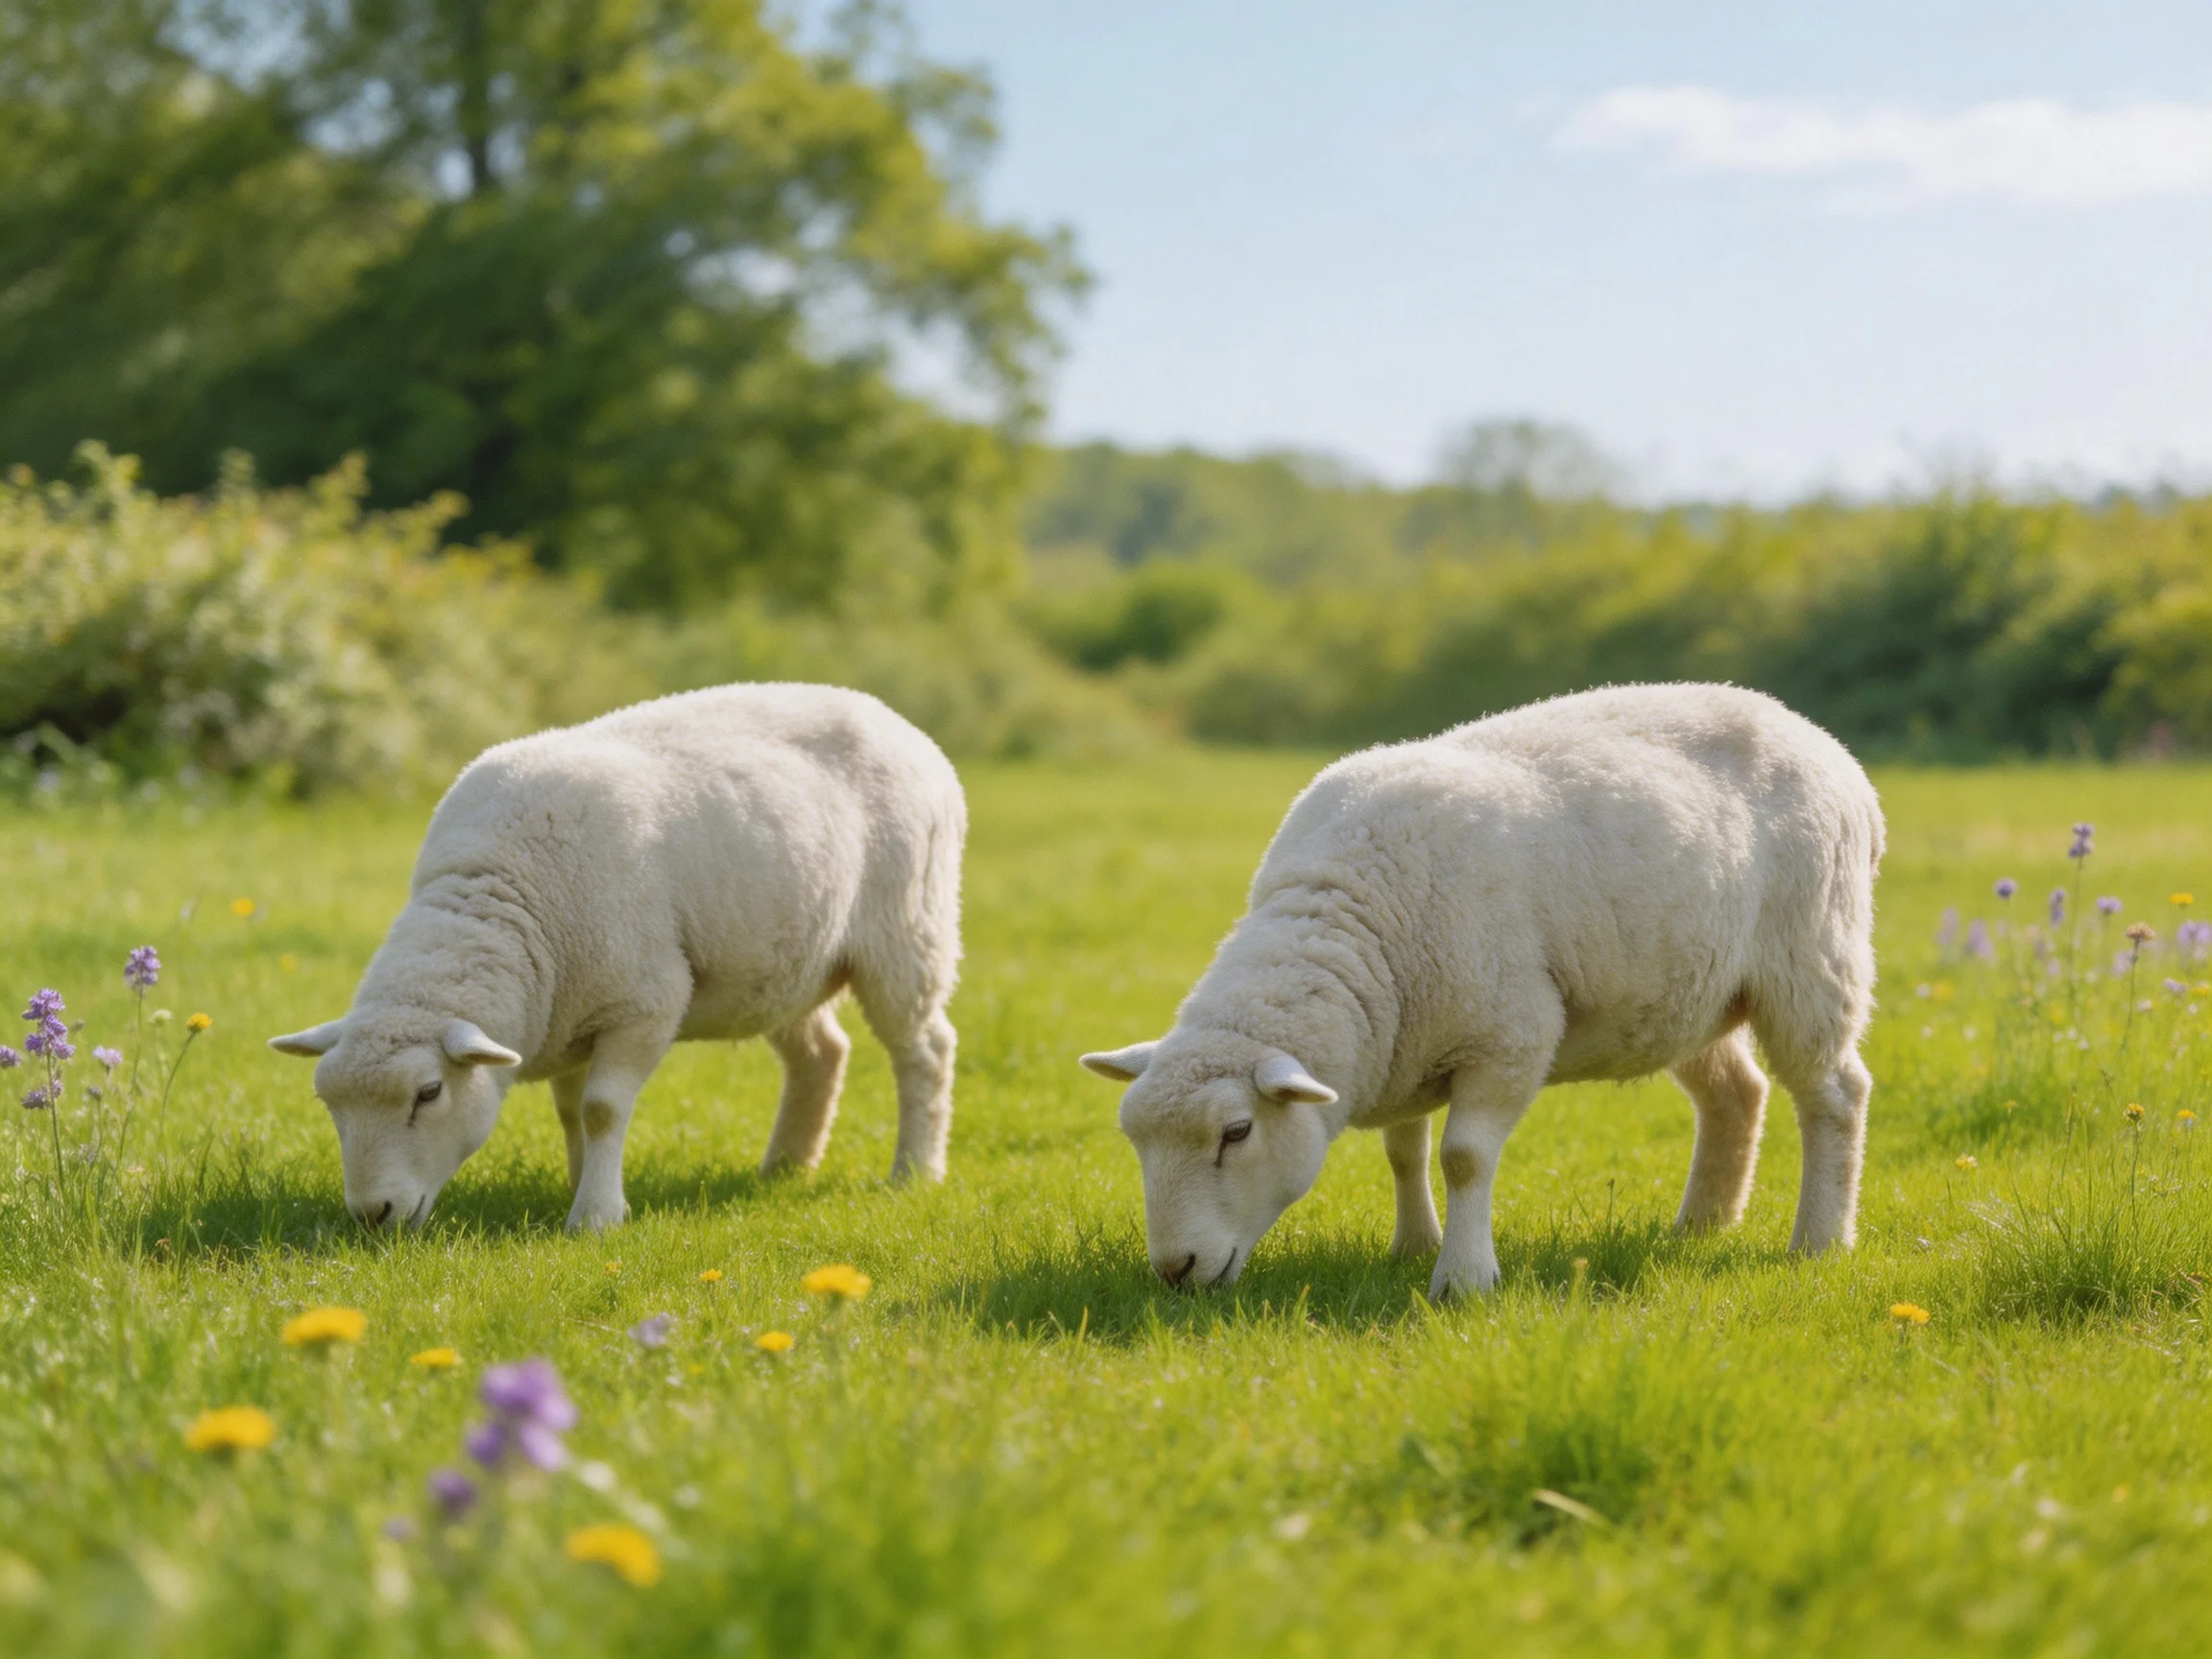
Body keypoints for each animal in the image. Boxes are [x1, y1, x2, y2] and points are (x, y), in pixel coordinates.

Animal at [269, 683, 964, 1232]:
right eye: (328, 1105)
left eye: (428, 1093)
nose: (371, 1215)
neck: (503, 896)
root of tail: (896, 722)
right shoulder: (569, 1014)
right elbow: (571, 1115)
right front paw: (583, 1184)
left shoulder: (642, 1002)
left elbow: (602, 1111)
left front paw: (596, 1217)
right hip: (782, 960)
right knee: (822, 1053)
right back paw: (787, 1166)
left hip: (907, 929)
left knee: (924, 1050)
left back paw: (915, 1171)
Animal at [1081, 683, 1883, 1300]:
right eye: (1135, 1139)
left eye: (1236, 1133)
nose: (1174, 1269)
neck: (1352, 917)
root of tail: (1829, 749)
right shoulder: (1404, 1040)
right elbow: (1403, 1152)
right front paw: (1411, 1244)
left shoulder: (1508, 1033)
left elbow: (1463, 1157)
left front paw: (1462, 1279)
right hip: (1686, 992)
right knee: (1736, 1093)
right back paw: (1701, 1224)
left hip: (1810, 958)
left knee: (1835, 1095)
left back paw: (1819, 1241)